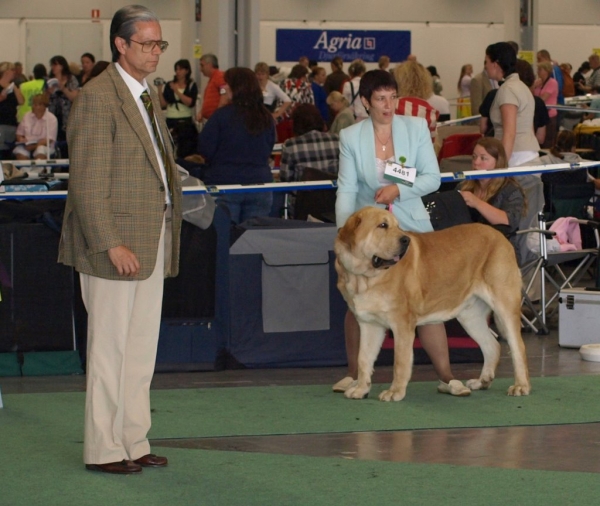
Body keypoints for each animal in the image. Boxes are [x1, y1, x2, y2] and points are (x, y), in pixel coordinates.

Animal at [336, 208, 532, 402]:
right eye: (382, 225)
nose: (405, 240)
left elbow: (400, 361)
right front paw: (360, 389)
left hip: (505, 306)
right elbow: (363, 358)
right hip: (470, 317)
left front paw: (395, 392)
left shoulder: (402, 324)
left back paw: (521, 386)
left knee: (518, 347)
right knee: (493, 346)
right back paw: (482, 381)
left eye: (397, 226)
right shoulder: (369, 324)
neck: (364, 278)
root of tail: (499, 235)